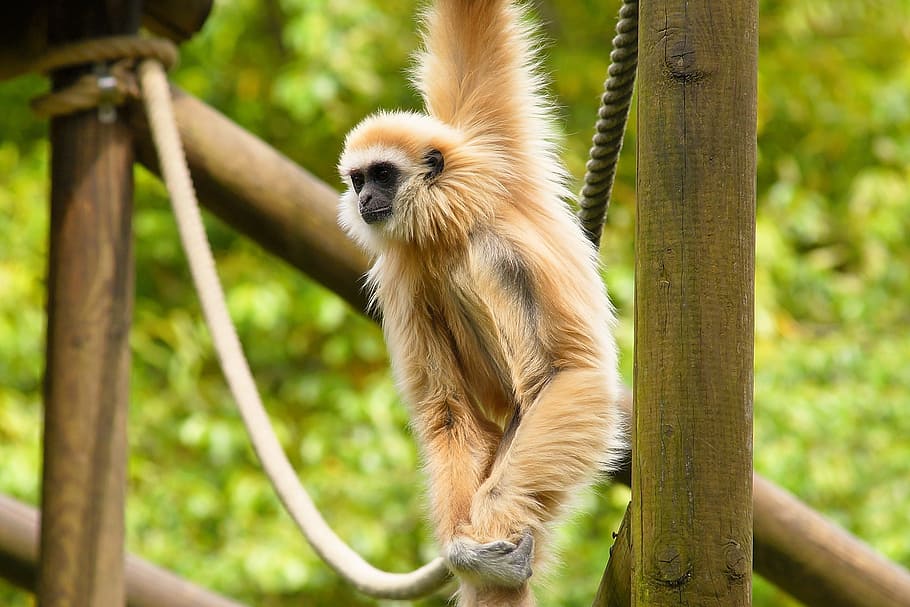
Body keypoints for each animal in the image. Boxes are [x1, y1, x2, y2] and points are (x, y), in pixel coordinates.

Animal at [337, 1, 625, 605]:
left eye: (382, 175)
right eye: (357, 179)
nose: (366, 198)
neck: (452, 219)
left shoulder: (497, 182)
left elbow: (573, 373)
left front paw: (480, 538)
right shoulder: (405, 273)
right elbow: (446, 412)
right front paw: (461, 550)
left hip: (553, 430)